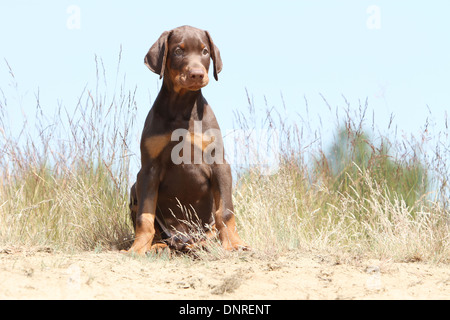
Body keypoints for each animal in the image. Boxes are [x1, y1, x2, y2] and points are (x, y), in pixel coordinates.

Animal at [124, 25, 246, 255]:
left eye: (205, 51)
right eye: (178, 51)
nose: (197, 74)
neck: (182, 108)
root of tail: (183, 240)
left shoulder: (219, 164)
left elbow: (225, 211)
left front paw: (234, 243)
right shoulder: (149, 169)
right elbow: (144, 216)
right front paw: (138, 247)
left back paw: (205, 244)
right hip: (135, 186)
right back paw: (157, 246)